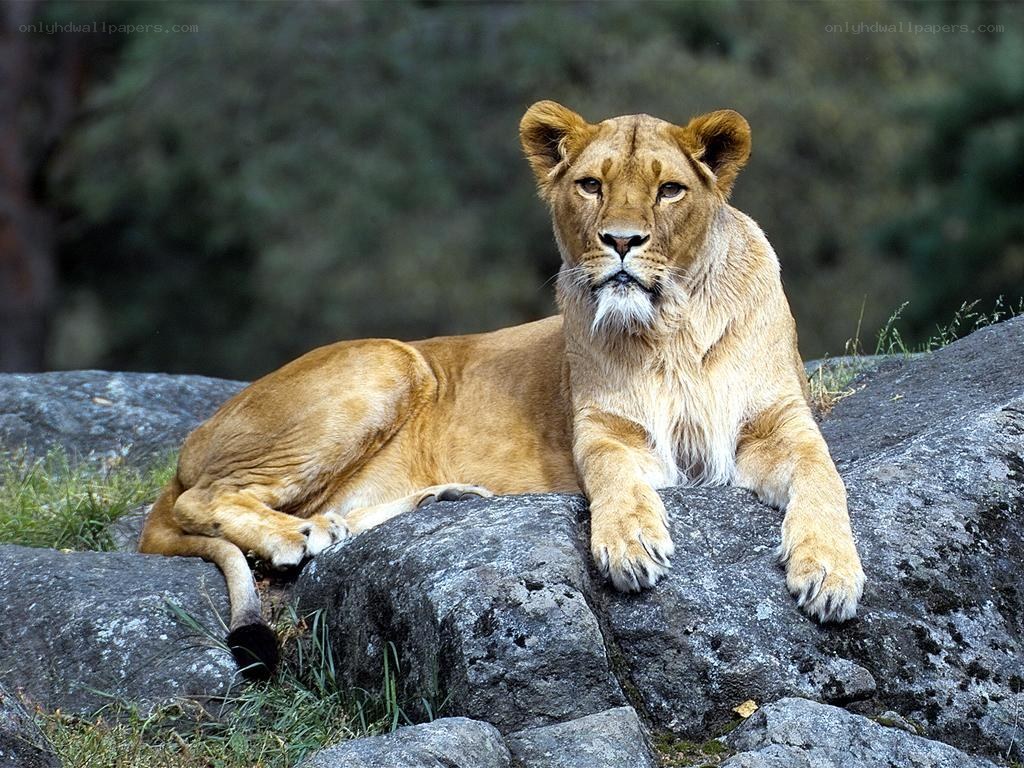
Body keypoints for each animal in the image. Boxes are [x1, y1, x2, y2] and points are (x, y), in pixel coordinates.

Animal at [140, 101, 865, 678]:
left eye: (669, 191)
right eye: (591, 185)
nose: (622, 242)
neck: (672, 328)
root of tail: (193, 440)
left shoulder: (781, 421)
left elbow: (825, 477)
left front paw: (831, 573)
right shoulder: (605, 430)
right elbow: (615, 479)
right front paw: (630, 543)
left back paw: (424, 502)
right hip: (388, 362)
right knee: (204, 499)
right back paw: (297, 533)